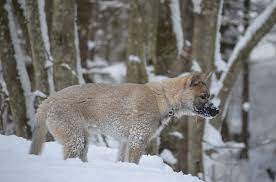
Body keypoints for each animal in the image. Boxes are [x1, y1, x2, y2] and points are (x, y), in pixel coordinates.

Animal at [29, 72, 218, 164]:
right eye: (204, 96)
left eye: (209, 96)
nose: (216, 111)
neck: (162, 99)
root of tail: (49, 99)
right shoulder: (138, 139)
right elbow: (134, 162)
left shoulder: (125, 142)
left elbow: (121, 159)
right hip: (75, 139)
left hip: (83, 140)